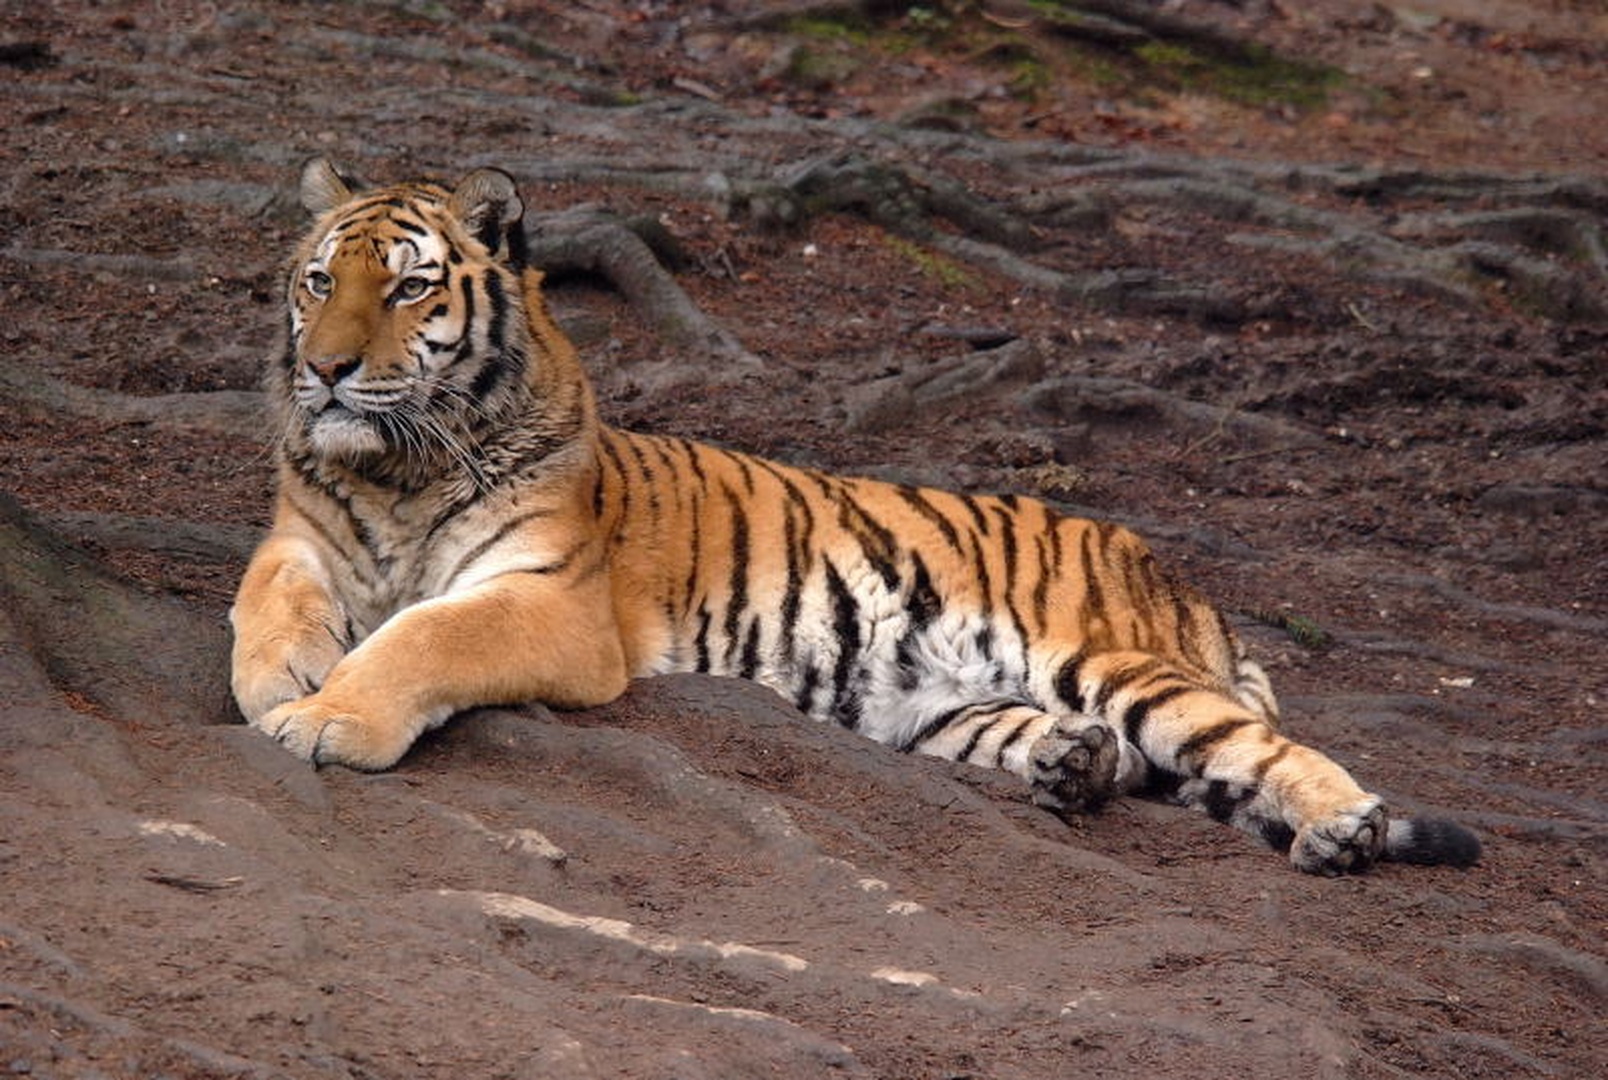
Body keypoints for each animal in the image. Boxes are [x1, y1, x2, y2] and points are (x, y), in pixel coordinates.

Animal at [230, 158, 1481, 876]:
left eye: (407, 287)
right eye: (318, 280)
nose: (326, 370)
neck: (392, 472)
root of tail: (1182, 583)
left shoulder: (550, 601)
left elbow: (426, 636)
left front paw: (326, 718)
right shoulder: (303, 536)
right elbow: (265, 596)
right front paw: (284, 676)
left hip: (1123, 665)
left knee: (1268, 749)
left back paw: (1341, 830)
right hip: (944, 712)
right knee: (1110, 757)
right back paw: (1071, 768)